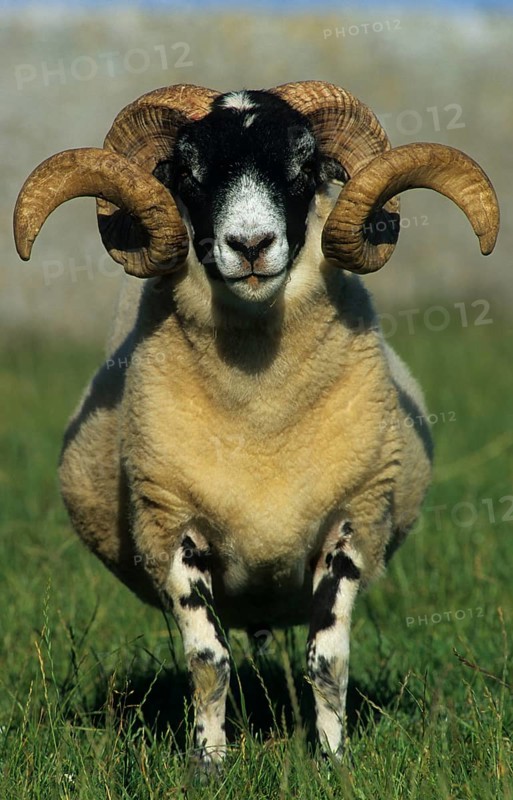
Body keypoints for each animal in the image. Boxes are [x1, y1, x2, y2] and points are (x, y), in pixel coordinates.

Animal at [14, 80, 499, 770]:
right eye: (187, 171)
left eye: (304, 165)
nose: (249, 245)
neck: (261, 418)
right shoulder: (173, 528)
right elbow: (208, 660)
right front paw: (209, 764)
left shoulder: (352, 521)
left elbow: (327, 660)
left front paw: (332, 763)